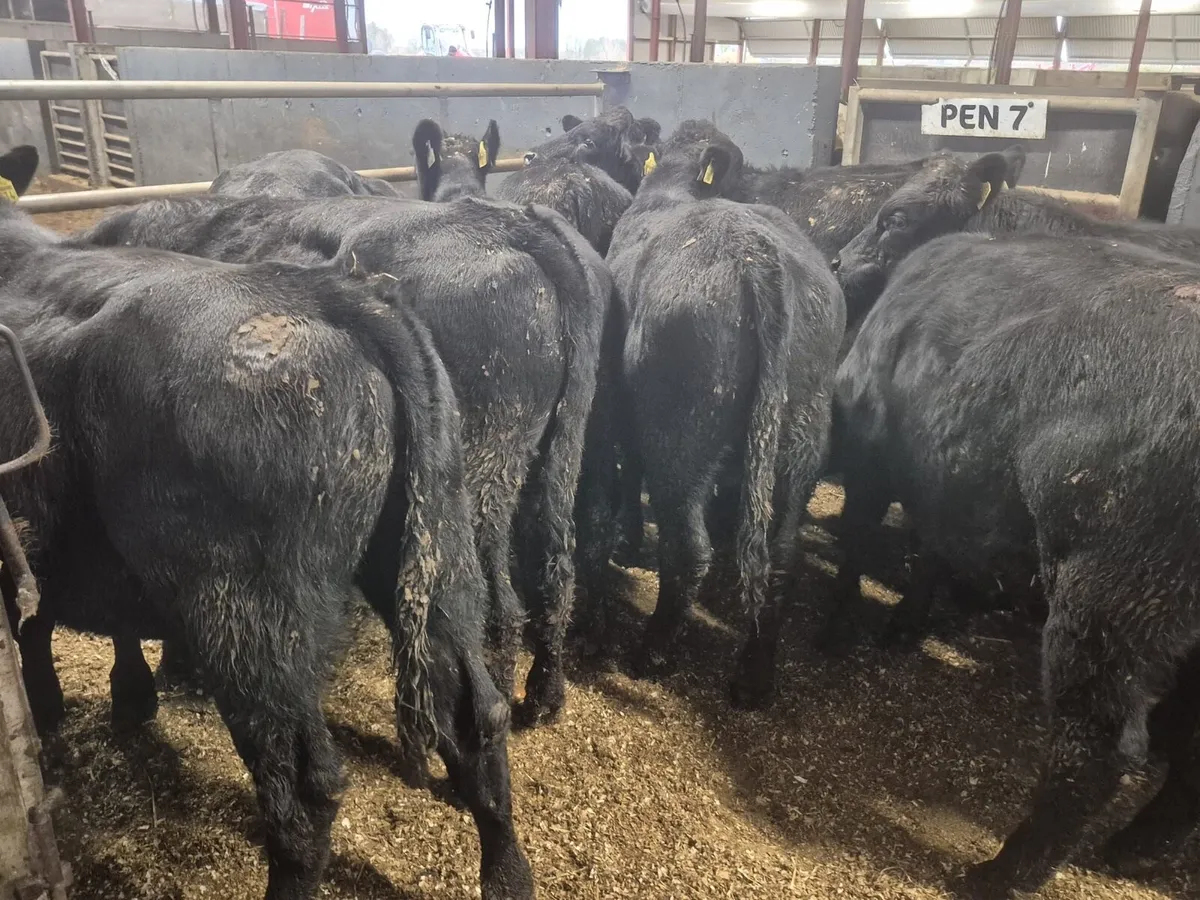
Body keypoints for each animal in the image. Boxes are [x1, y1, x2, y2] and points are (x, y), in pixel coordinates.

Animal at [82, 187, 608, 730]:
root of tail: (507, 222)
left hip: (481, 472)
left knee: (501, 602)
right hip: (551, 459)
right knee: (553, 572)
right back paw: (543, 699)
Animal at [607, 121, 845, 708]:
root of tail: (756, 256)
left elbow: (629, 467)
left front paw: (625, 541)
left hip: (681, 434)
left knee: (690, 549)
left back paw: (652, 651)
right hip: (801, 434)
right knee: (780, 556)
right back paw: (753, 676)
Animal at [831, 151, 1200, 896]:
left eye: (895, 216)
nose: (834, 262)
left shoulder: (875, 455)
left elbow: (861, 538)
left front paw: (837, 626)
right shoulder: (948, 477)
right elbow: (931, 549)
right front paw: (904, 624)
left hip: (1111, 602)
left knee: (1097, 750)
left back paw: (1002, 872)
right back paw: (1136, 846)